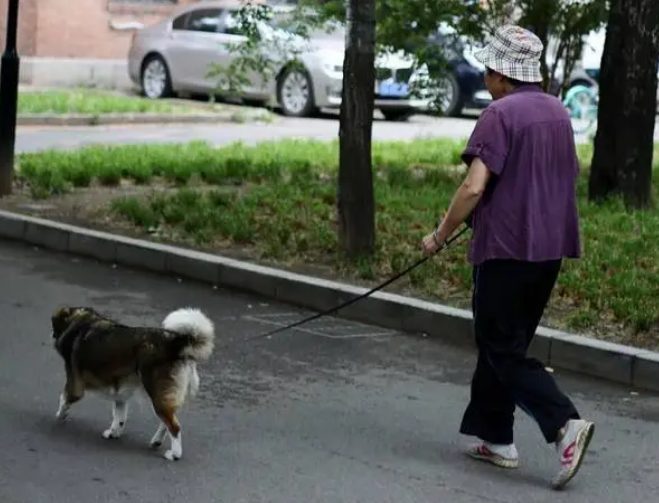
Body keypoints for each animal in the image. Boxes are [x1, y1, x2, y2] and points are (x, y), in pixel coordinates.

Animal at [52, 306, 217, 462]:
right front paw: (113, 432)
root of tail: (176, 342)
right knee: (167, 422)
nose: (51, 334)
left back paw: (175, 454)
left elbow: (63, 398)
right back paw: (156, 442)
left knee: (174, 426)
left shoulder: (75, 384)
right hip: (162, 397)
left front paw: (60, 415)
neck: (81, 322)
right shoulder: (119, 393)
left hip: (157, 393)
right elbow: (119, 416)